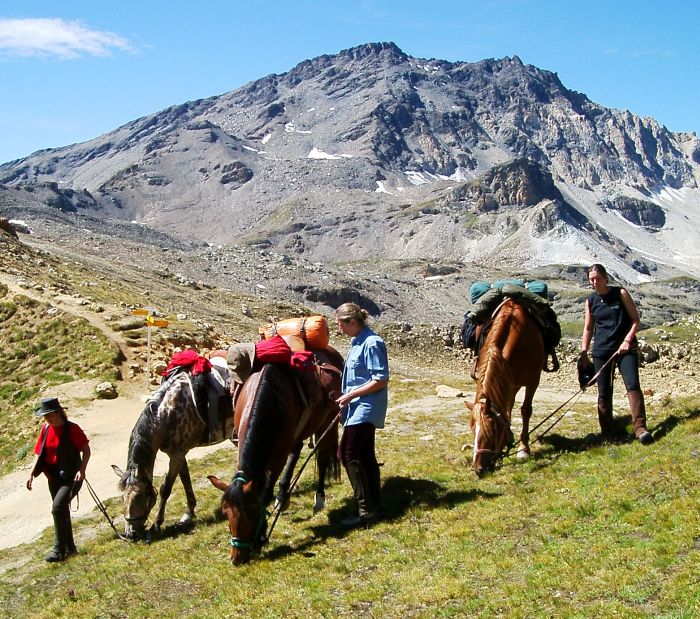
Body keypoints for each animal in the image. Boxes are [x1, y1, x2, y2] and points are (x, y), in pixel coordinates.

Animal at [112, 370, 235, 540]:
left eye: (139, 496)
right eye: (122, 498)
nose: (131, 534)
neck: (166, 414)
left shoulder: (177, 455)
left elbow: (166, 489)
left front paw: (156, 524)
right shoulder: (178, 454)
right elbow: (185, 481)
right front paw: (188, 514)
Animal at [206, 348, 344, 568]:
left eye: (252, 514)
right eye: (226, 514)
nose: (237, 559)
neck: (269, 398)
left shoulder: (278, 456)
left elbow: (265, 493)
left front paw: (261, 538)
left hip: (327, 422)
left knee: (322, 458)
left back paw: (318, 499)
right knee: (297, 451)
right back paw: (283, 497)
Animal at [470, 298, 548, 478]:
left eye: (492, 431)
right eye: (472, 430)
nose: (478, 469)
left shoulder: (533, 381)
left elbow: (525, 410)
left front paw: (524, 449)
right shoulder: (507, 379)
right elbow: (507, 410)